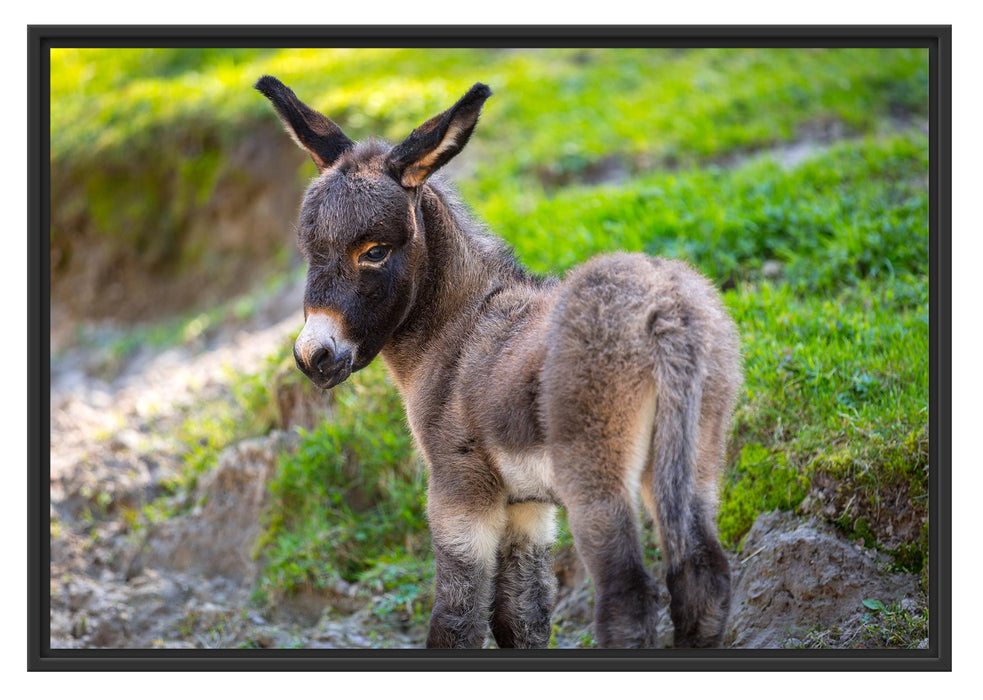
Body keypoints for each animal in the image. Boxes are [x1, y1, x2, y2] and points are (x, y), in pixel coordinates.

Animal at [258, 74, 740, 648]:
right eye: (309, 249)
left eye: (373, 251)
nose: (314, 357)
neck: (457, 330)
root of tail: (666, 311)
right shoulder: (527, 507)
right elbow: (520, 617)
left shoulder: (459, 491)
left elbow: (457, 619)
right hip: (694, 457)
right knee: (703, 576)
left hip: (597, 477)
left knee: (627, 594)